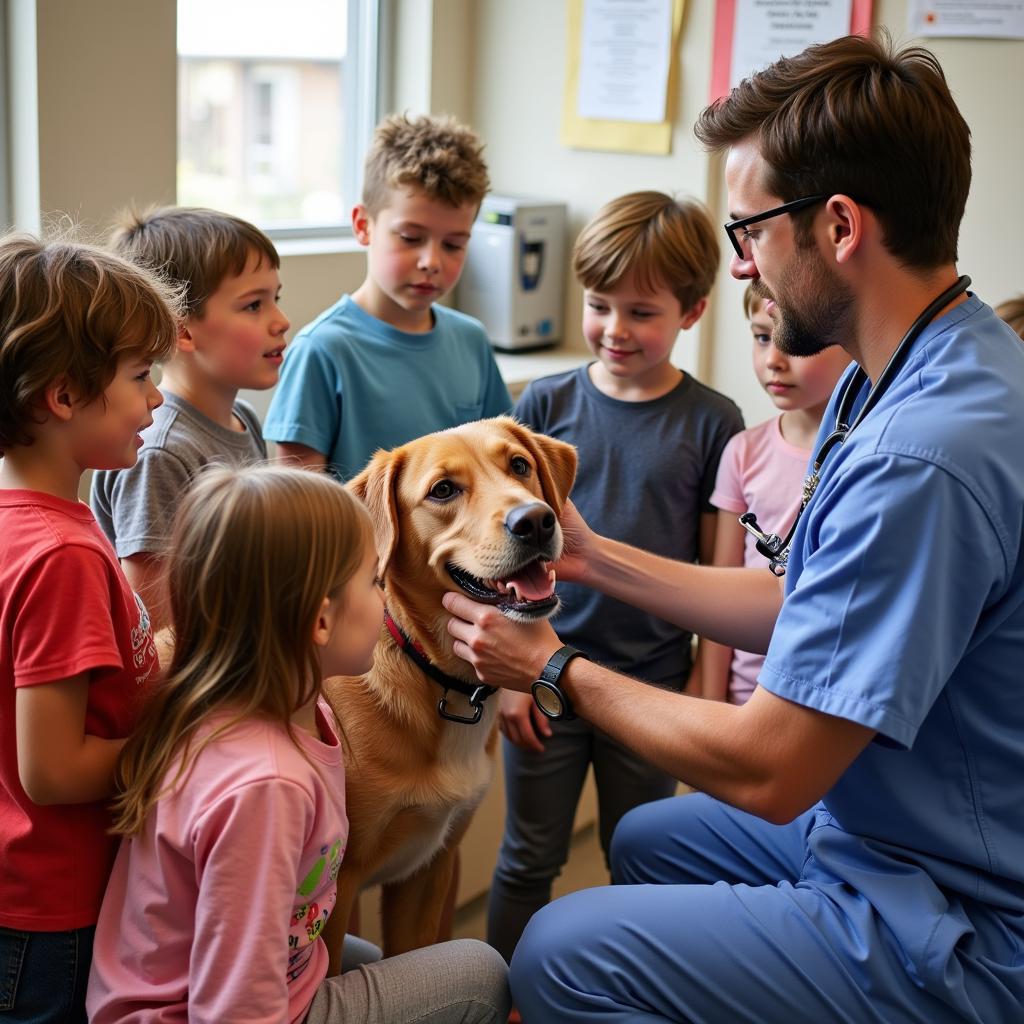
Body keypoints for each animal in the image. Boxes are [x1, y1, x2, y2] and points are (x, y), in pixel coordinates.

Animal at [321, 415, 577, 966]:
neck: (441, 677)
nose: (536, 521)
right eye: (443, 490)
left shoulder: (425, 872)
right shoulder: (339, 889)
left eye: (519, 465)